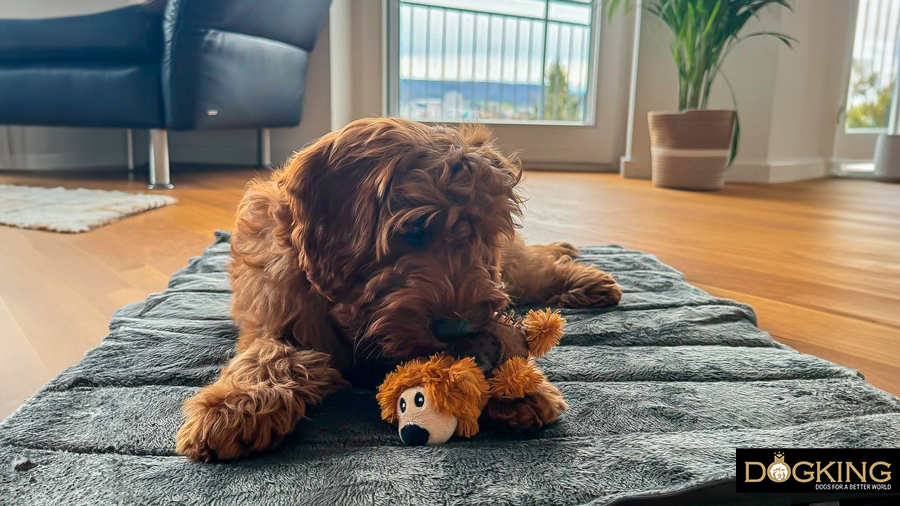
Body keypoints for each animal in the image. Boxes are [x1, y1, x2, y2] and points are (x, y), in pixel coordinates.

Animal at [175, 118, 620, 462]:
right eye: (414, 230)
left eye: (479, 234)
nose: (457, 330)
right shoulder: (274, 314)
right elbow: (267, 355)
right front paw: (235, 405)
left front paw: (516, 385)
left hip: (507, 268)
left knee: (530, 268)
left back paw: (582, 278)